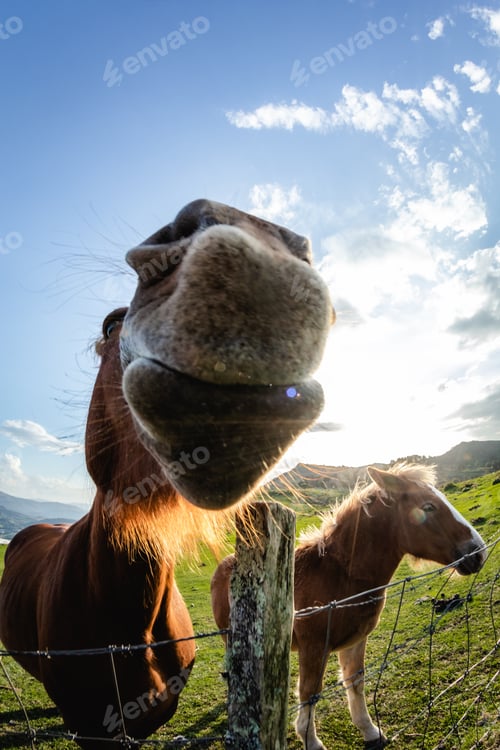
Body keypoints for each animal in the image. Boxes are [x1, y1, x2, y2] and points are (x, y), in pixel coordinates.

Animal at [210, 463, 486, 750]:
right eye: (428, 506)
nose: (478, 551)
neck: (341, 574)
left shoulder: (356, 640)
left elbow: (355, 682)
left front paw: (370, 730)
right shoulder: (314, 648)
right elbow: (310, 692)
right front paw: (310, 740)